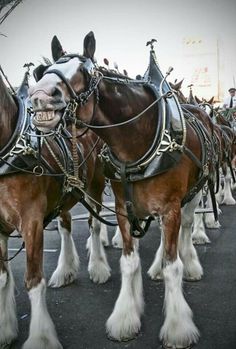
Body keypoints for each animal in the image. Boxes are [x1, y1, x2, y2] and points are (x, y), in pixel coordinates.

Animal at [0, 70, 109, 348]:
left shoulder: (32, 222)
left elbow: (33, 280)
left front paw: (41, 338)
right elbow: (3, 277)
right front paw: (5, 330)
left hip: (95, 185)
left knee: (94, 224)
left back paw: (98, 267)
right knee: (66, 226)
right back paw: (66, 270)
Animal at [28, 31, 218, 346]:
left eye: (84, 72)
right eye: (43, 72)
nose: (40, 97)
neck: (139, 138)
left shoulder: (171, 208)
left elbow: (173, 266)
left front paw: (178, 328)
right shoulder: (122, 209)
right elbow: (129, 262)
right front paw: (126, 318)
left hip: (193, 193)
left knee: (189, 226)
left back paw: (190, 263)